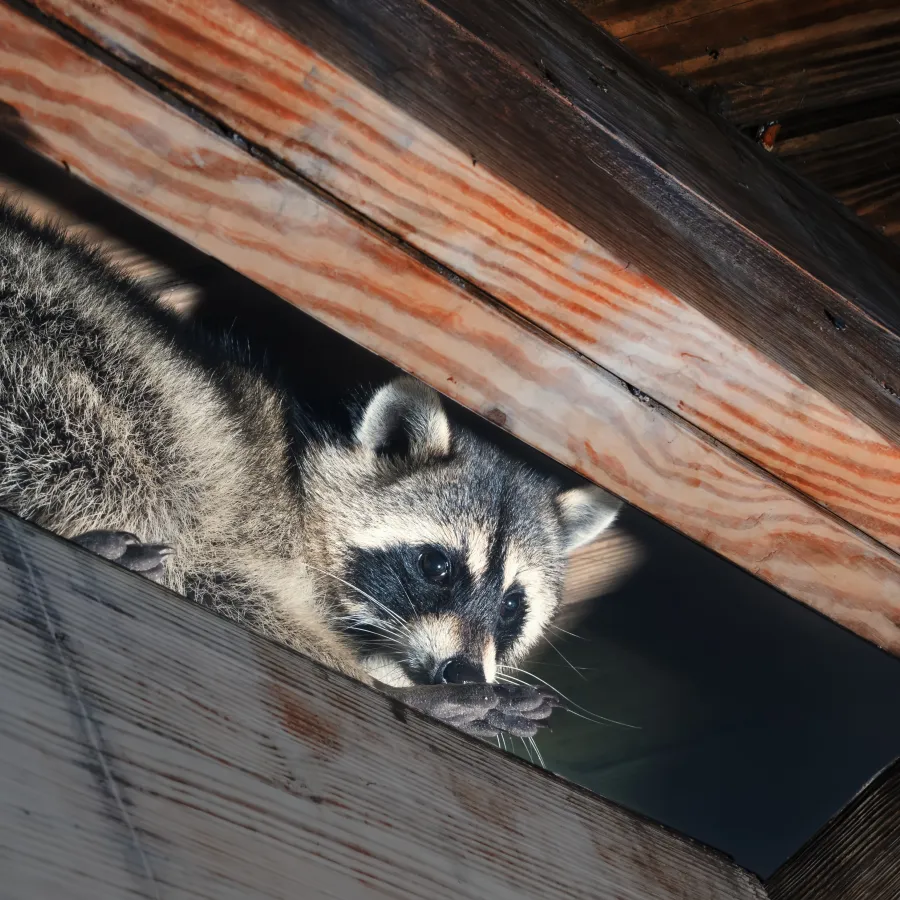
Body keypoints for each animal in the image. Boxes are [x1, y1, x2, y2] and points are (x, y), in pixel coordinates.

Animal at [0, 200, 620, 740]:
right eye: (436, 566)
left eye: (513, 604)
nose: (462, 673)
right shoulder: (249, 517)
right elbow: (219, 580)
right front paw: (390, 687)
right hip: (59, 355)